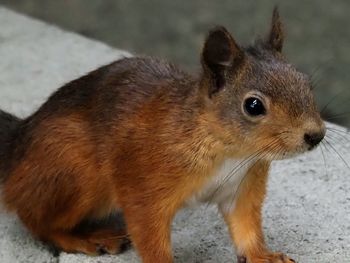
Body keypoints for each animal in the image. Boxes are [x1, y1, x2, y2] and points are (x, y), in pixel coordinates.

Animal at [0, 8, 326, 263]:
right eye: (254, 106)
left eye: (306, 83)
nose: (316, 135)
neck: (230, 152)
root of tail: (17, 144)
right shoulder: (143, 184)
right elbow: (148, 232)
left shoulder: (242, 186)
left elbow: (246, 227)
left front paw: (263, 256)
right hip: (73, 174)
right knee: (35, 220)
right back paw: (87, 238)